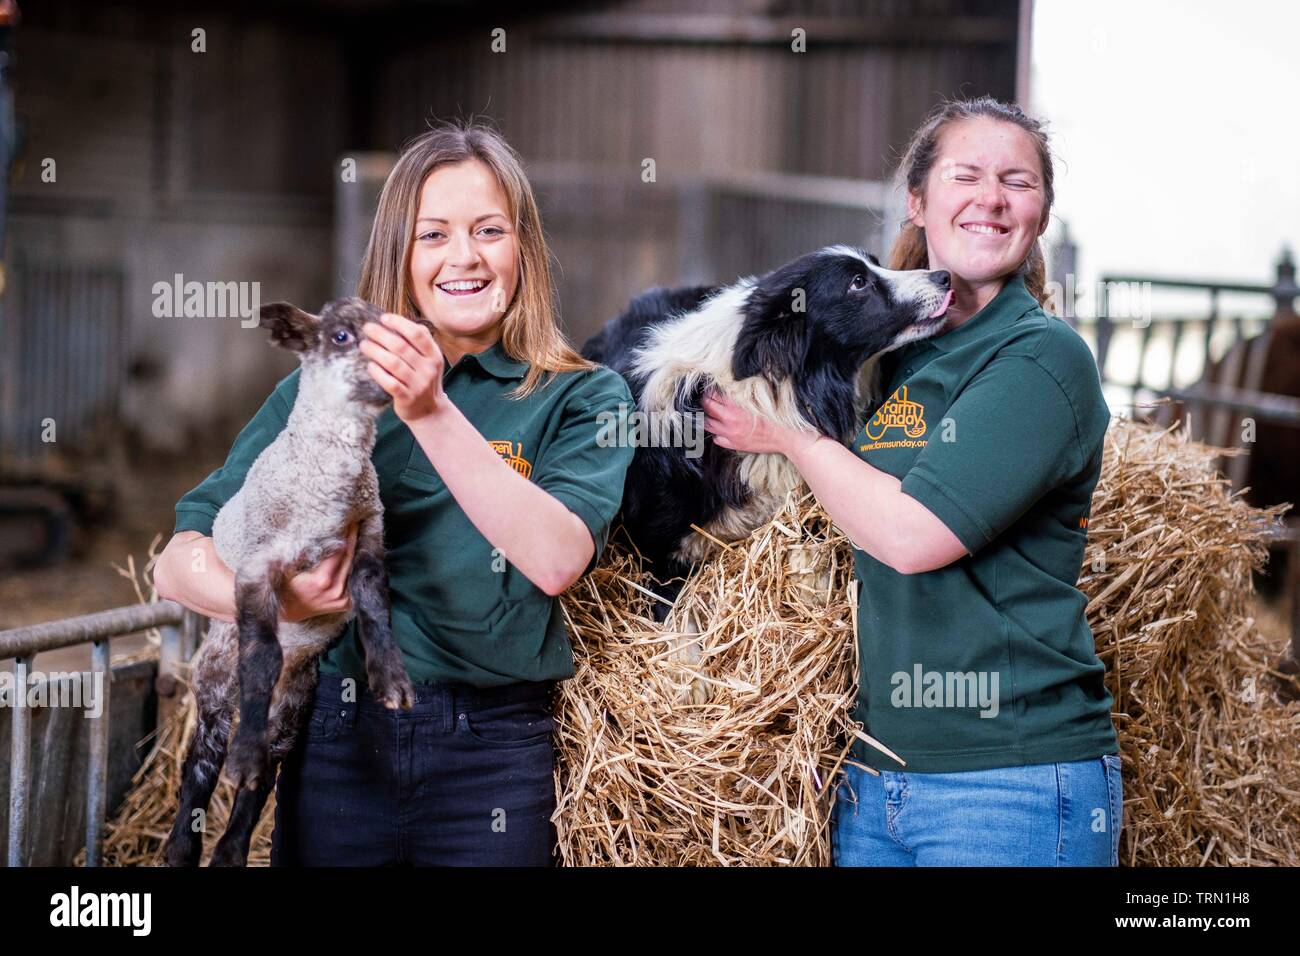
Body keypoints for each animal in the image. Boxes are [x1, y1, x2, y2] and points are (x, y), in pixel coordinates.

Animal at [162, 297, 413, 868]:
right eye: (341, 336)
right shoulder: (260, 566)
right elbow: (262, 656)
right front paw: (244, 752)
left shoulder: (369, 537)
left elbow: (375, 609)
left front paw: (392, 682)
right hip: (213, 681)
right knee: (200, 764)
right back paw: (186, 843)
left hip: (295, 703)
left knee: (264, 778)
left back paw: (231, 850)